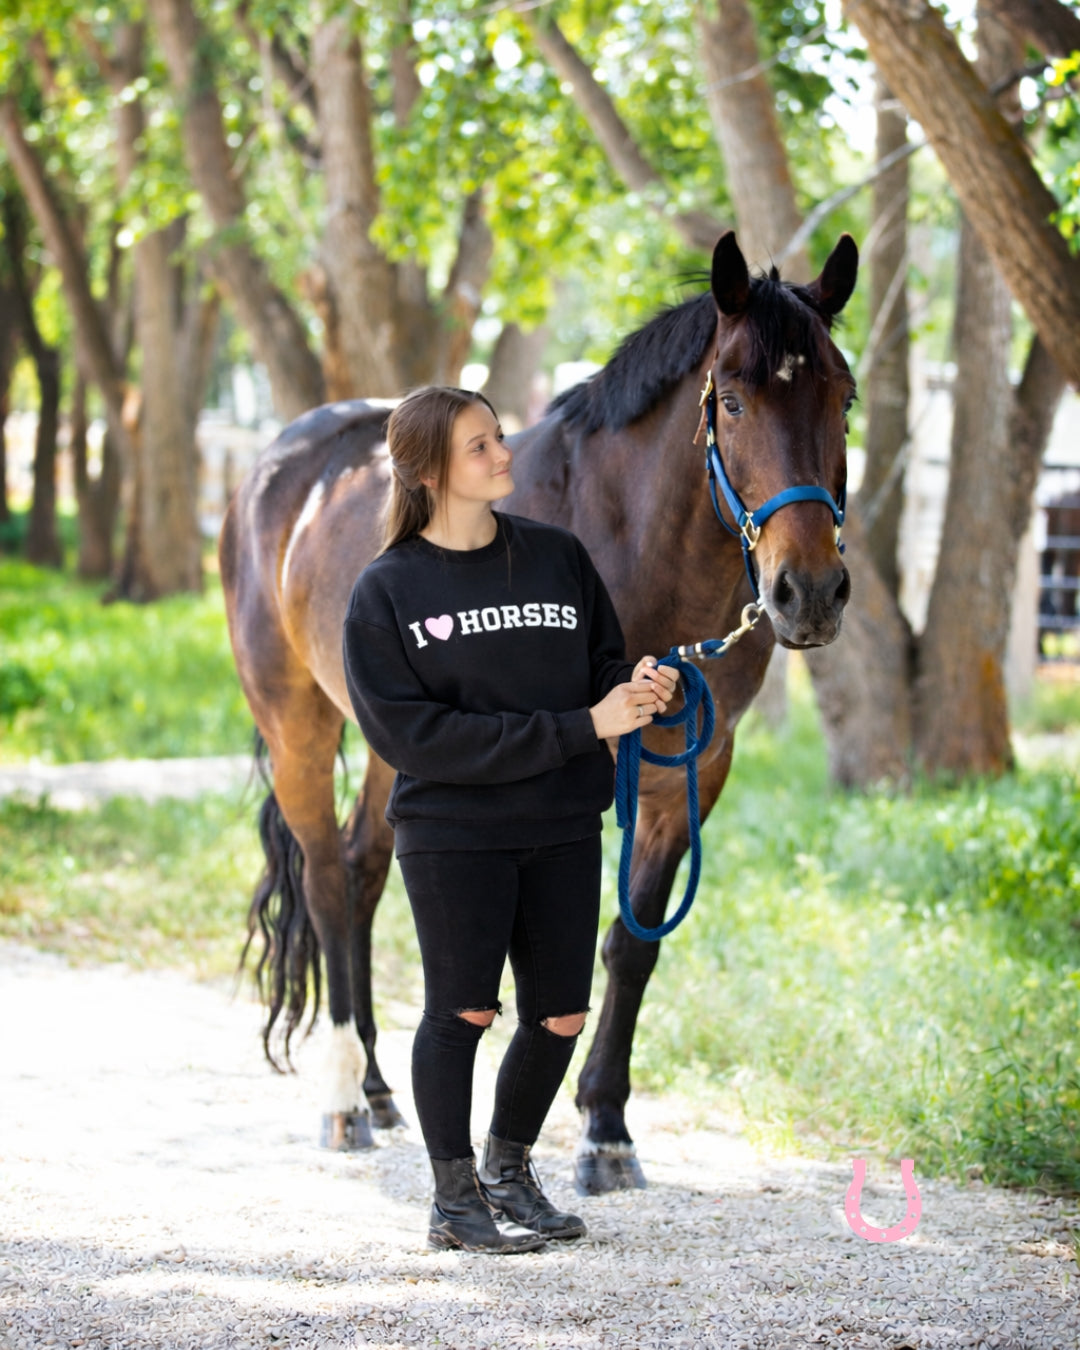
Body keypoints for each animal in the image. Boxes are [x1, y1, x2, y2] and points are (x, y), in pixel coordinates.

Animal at [219, 230, 858, 1191]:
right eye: (734, 400)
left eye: (844, 399)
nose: (809, 593)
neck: (631, 537)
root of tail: (274, 468)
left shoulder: (695, 770)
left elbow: (632, 944)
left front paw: (607, 1130)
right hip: (299, 725)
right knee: (329, 881)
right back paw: (340, 1100)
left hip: (394, 744)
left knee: (364, 868)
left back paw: (376, 1087)